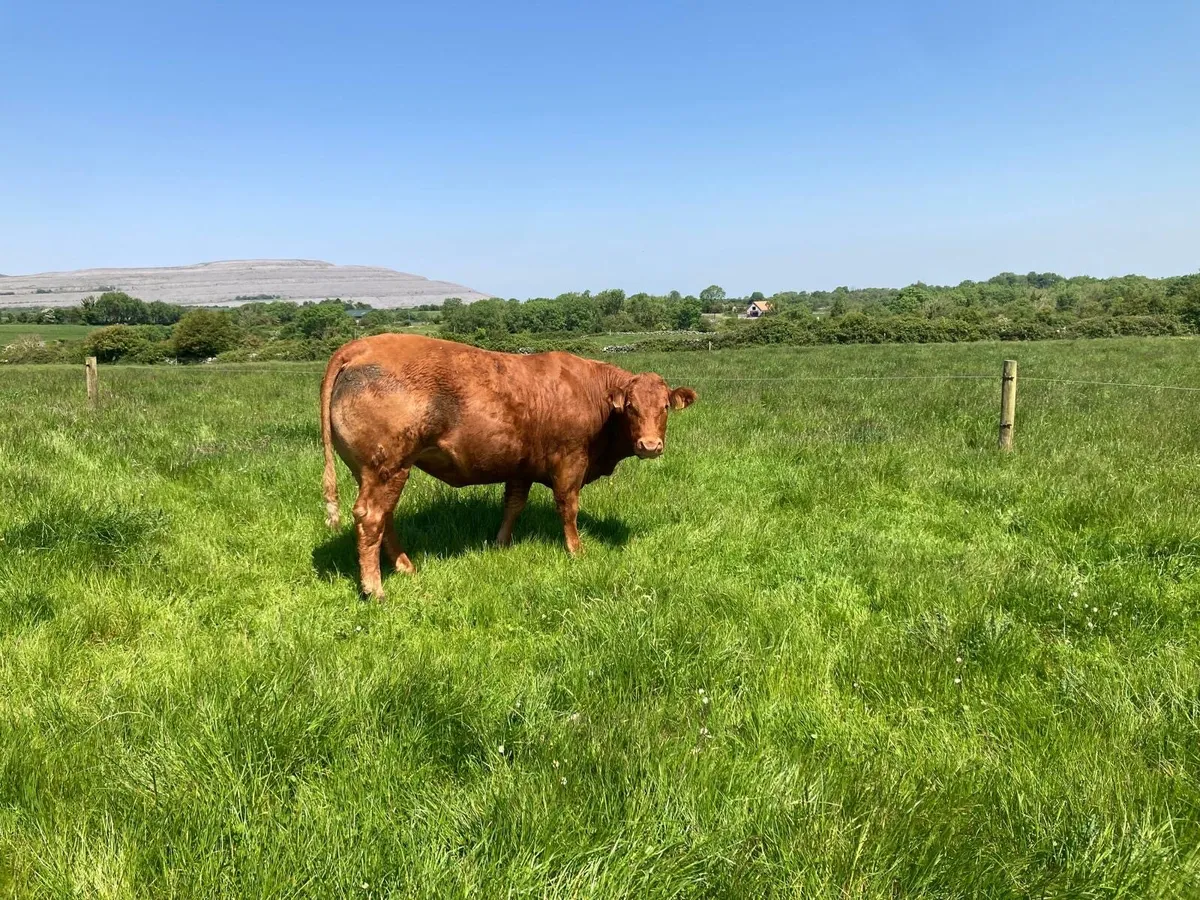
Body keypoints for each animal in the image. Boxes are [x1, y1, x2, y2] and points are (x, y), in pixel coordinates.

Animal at [319, 333, 697, 598]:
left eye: (664, 406)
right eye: (631, 407)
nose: (650, 445)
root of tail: (359, 346)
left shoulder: (520, 466)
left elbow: (513, 505)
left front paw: (500, 544)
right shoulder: (570, 460)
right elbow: (568, 507)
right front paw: (575, 551)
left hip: (377, 472)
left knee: (385, 518)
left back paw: (404, 567)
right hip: (387, 467)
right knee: (372, 518)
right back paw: (375, 588)